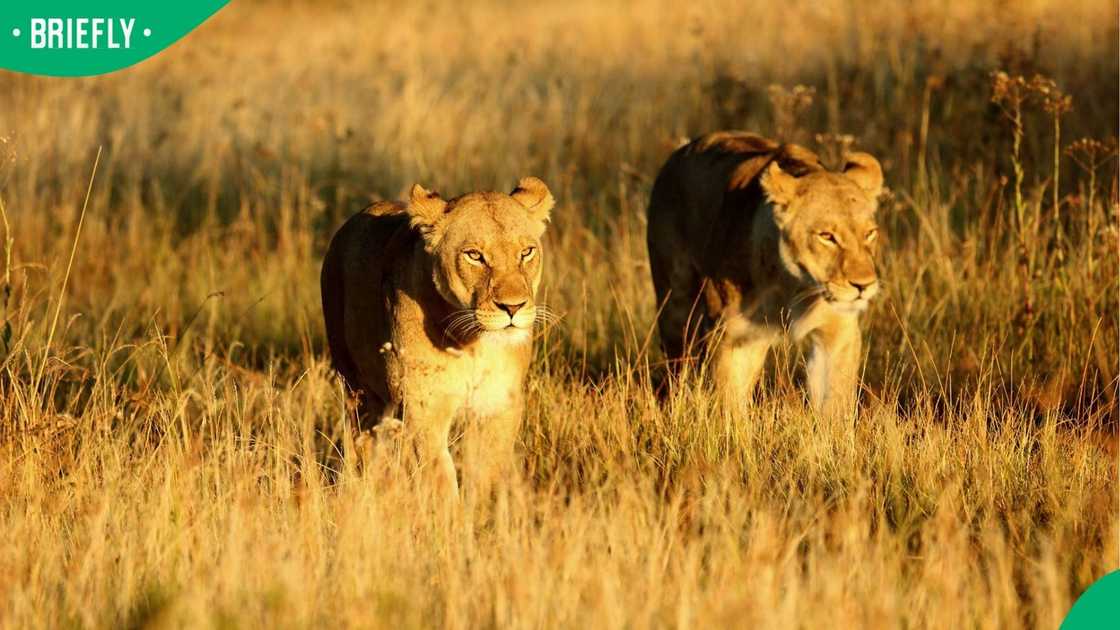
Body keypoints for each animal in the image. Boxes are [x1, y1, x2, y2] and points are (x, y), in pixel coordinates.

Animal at [320, 177, 555, 494]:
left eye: (526, 252)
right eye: (474, 255)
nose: (513, 307)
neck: (476, 345)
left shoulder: (499, 406)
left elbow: (487, 474)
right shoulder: (423, 410)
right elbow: (441, 483)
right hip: (357, 390)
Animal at [646, 131, 884, 414]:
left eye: (870, 233)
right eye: (827, 236)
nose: (864, 285)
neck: (795, 285)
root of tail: (682, 150)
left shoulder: (838, 333)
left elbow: (835, 403)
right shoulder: (732, 337)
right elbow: (730, 407)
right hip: (675, 305)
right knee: (677, 365)